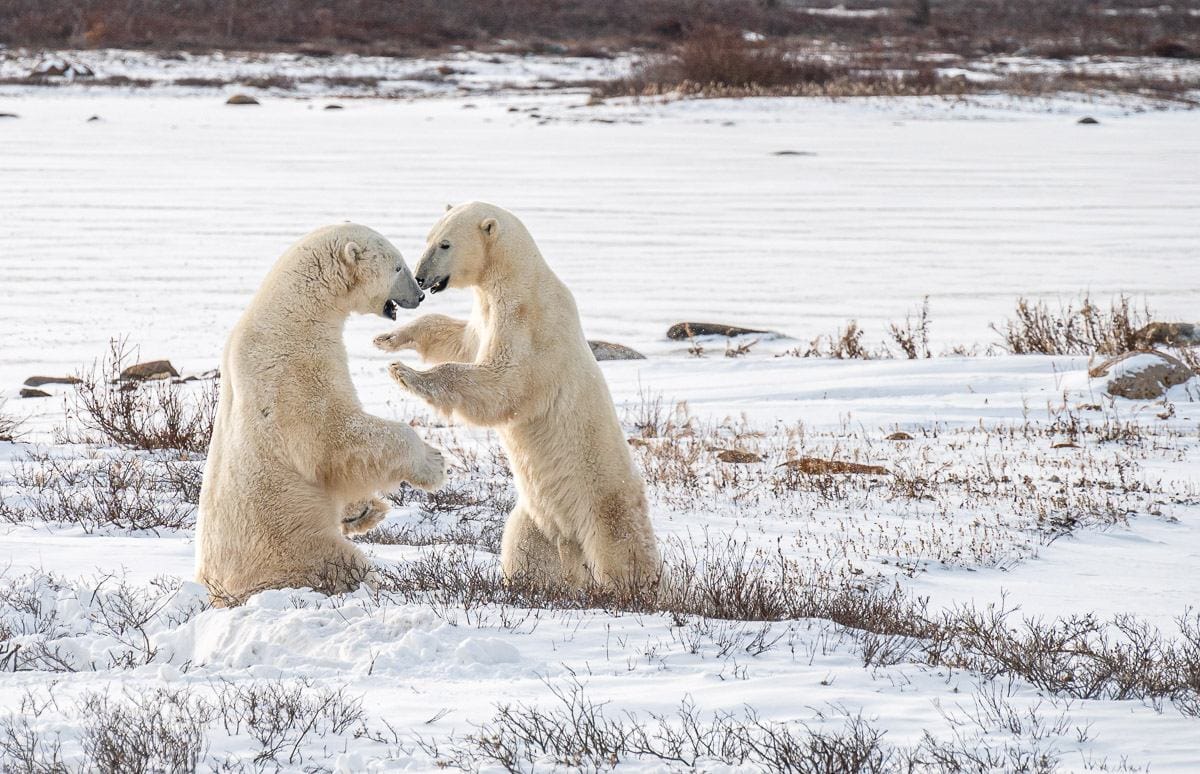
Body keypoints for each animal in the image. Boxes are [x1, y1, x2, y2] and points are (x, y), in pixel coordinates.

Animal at [199, 223, 448, 604]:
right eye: (398, 267)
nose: (419, 296)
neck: (294, 309)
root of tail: (217, 589)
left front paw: (365, 510)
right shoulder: (293, 366)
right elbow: (332, 435)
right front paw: (434, 462)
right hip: (290, 541)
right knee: (339, 564)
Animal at [374, 202, 662, 588]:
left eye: (445, 244)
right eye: (429, 238)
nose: (420, 277)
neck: (517, 276)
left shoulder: (528, 320)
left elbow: (503, 381)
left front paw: (405, 373)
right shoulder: (487, 316)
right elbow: (461, 342)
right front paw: (389, 338)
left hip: (604, 504)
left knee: (623, 553)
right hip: (536, 516)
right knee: (524, 550)